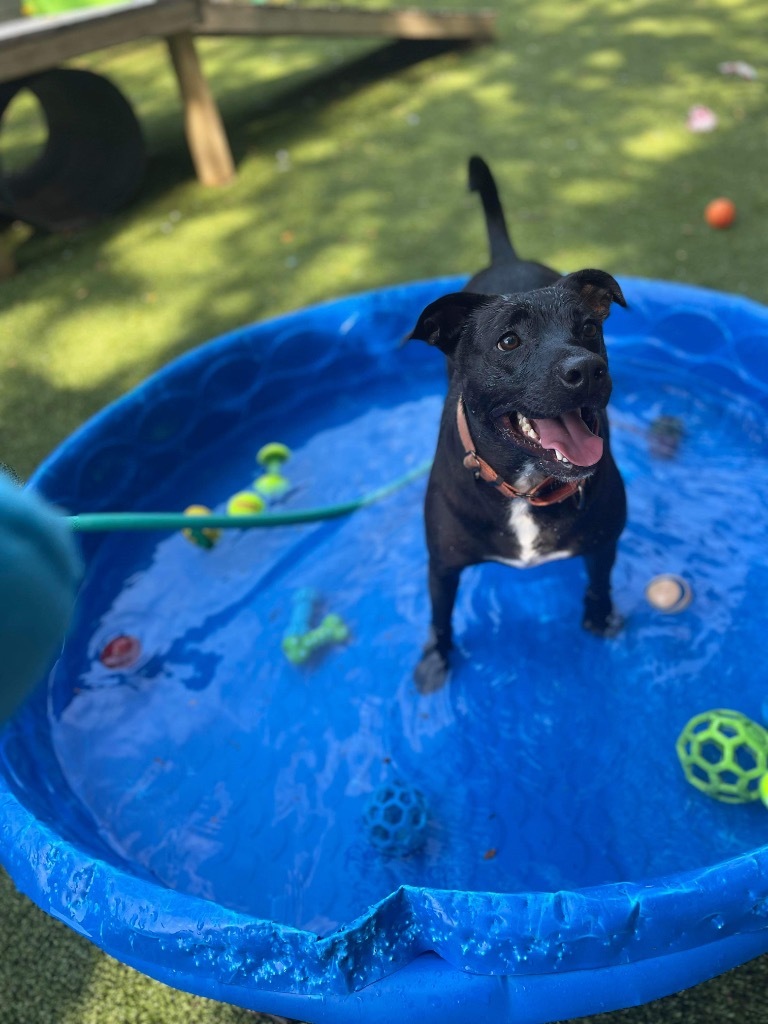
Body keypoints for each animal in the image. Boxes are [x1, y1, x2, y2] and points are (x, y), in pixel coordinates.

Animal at [405, 155, 626, 692]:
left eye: (589, 328)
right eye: (509, 341)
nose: (586, 369)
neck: (525, 487)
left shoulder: (605, 542)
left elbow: (600, 582)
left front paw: (600, 618)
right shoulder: (442, 565)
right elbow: (440, 617)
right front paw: (436, 658)